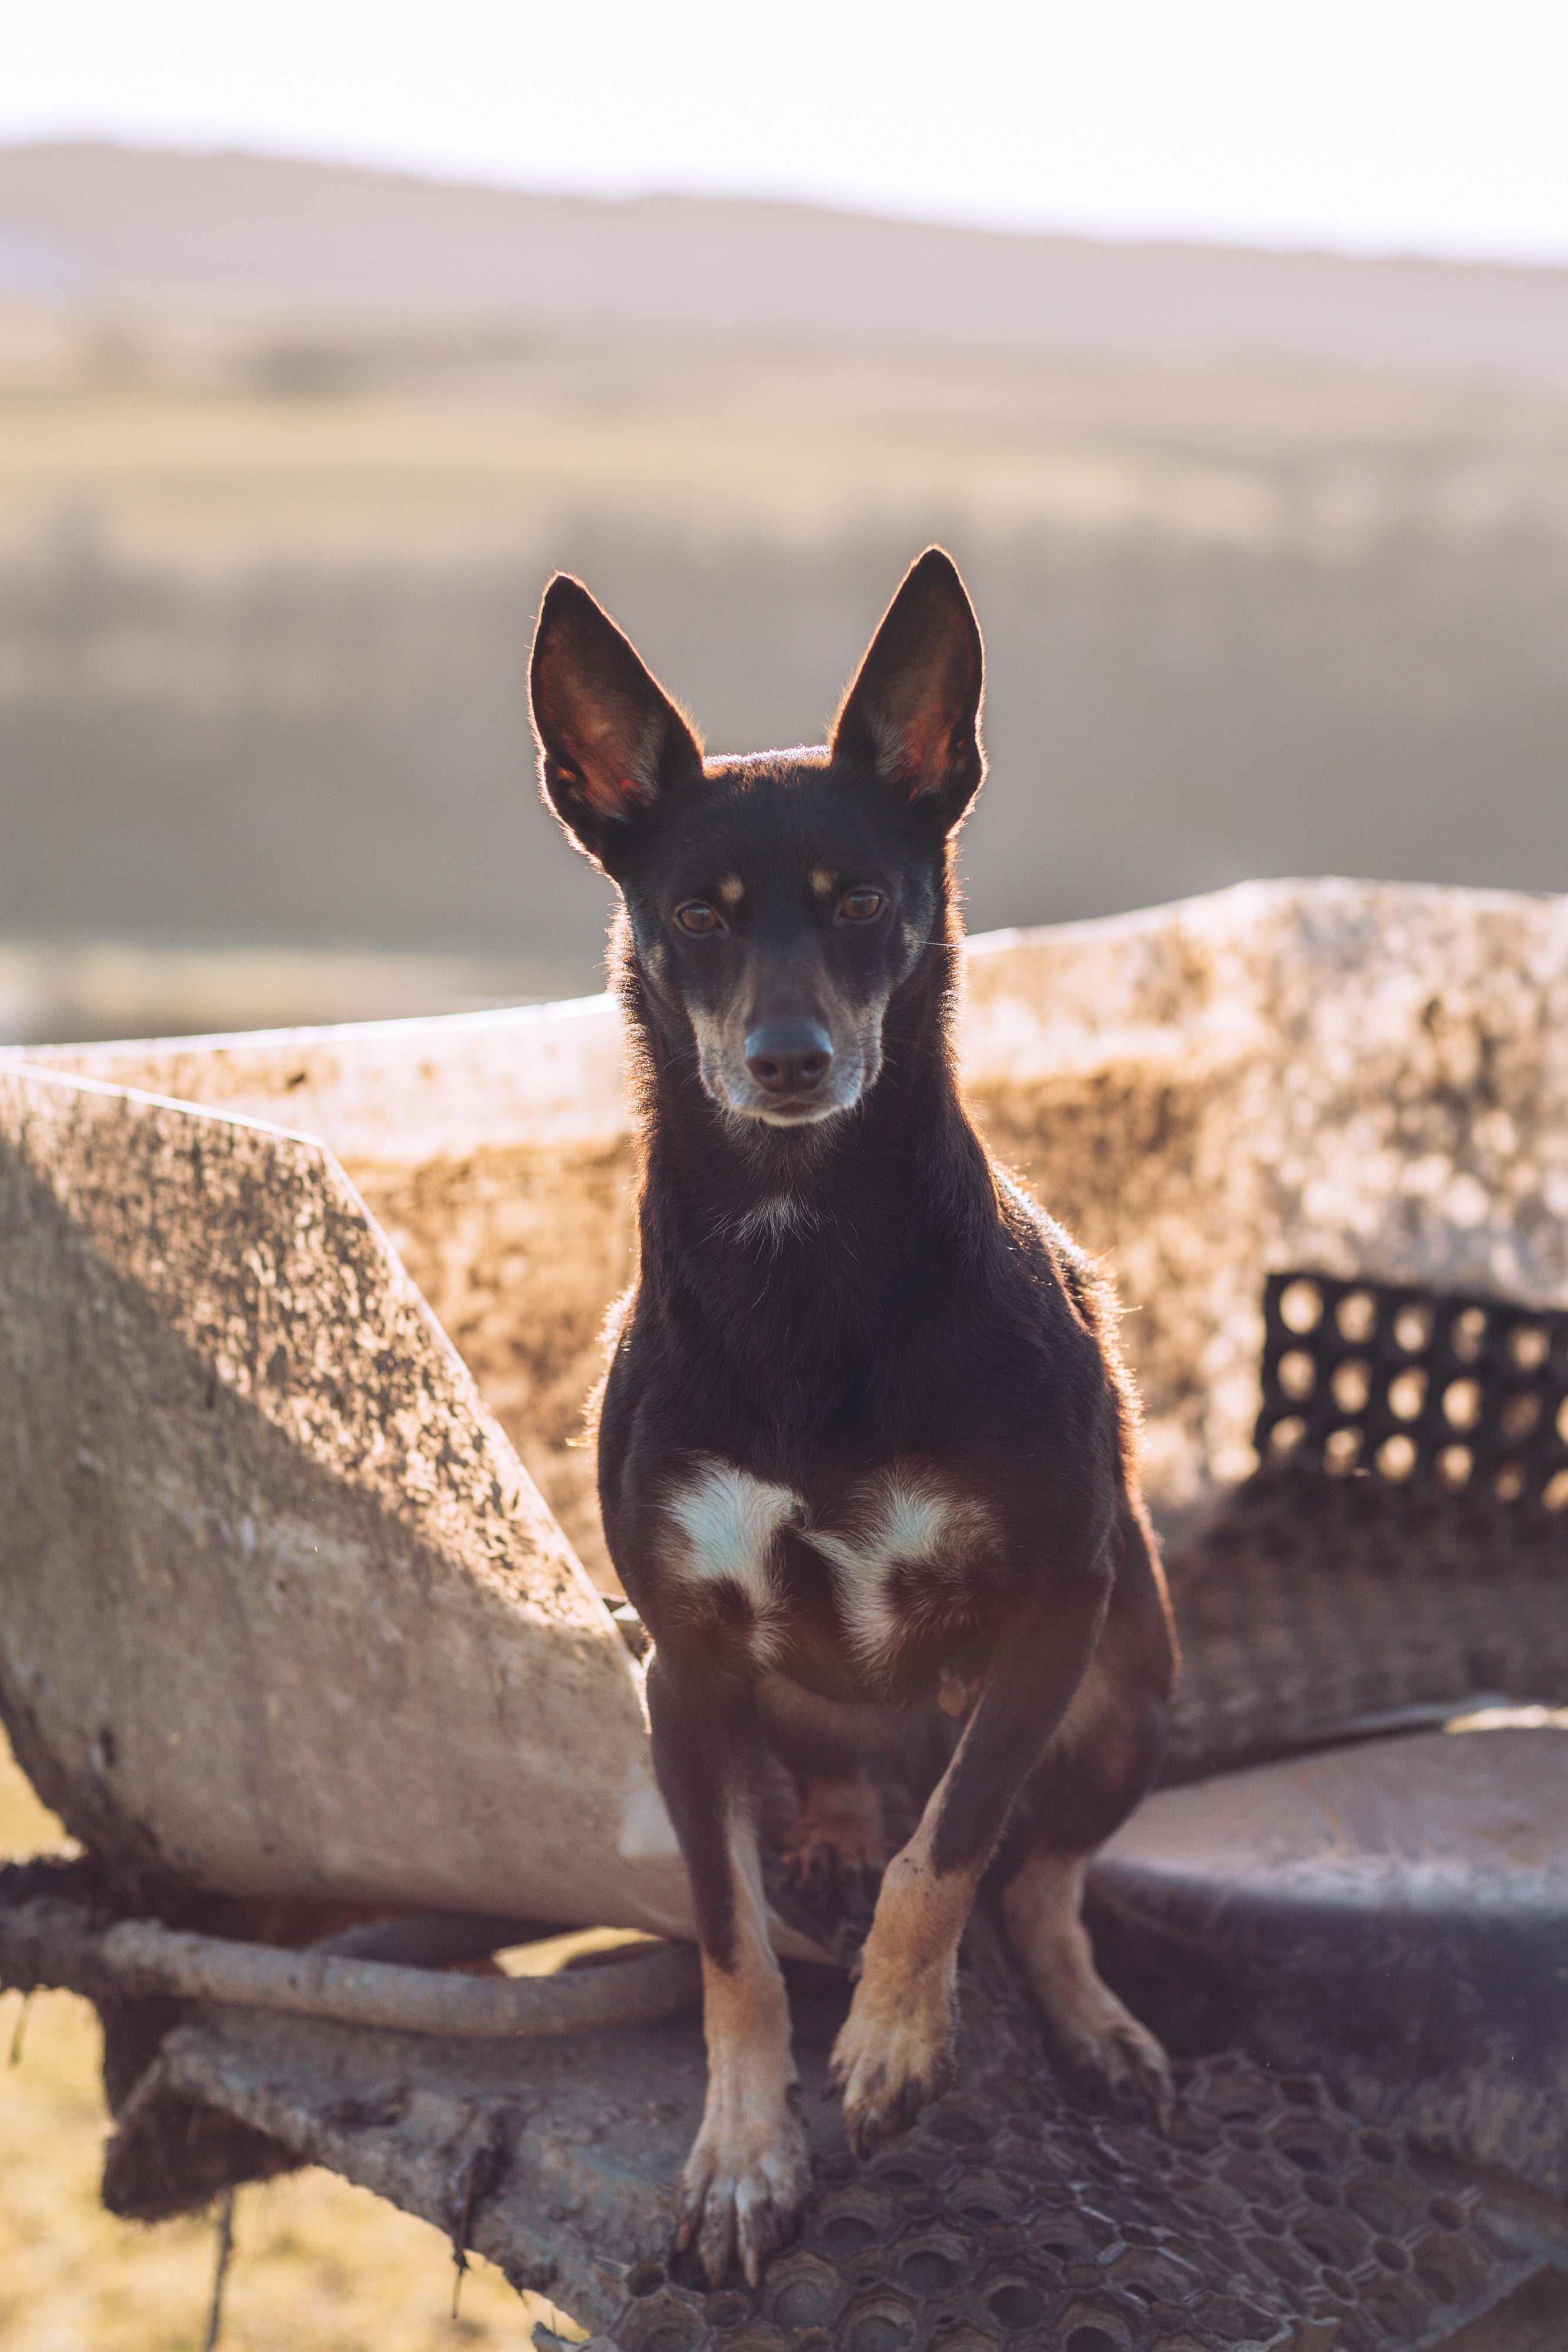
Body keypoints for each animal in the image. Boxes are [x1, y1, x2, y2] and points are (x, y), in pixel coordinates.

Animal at [531, 546, 1175, 2277]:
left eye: (863, 903)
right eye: (696, 915)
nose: (788, 1057)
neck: (799, 1249)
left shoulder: (1058, 1599)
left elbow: (950, 1849)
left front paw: (890, 2042)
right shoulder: (682, 1672)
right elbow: (732, 1944)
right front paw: (742, 2155)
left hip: (1129, 1679)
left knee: (1041, 1876)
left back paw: (1089, 2020)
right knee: (836, 1787)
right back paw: (824, 1818)